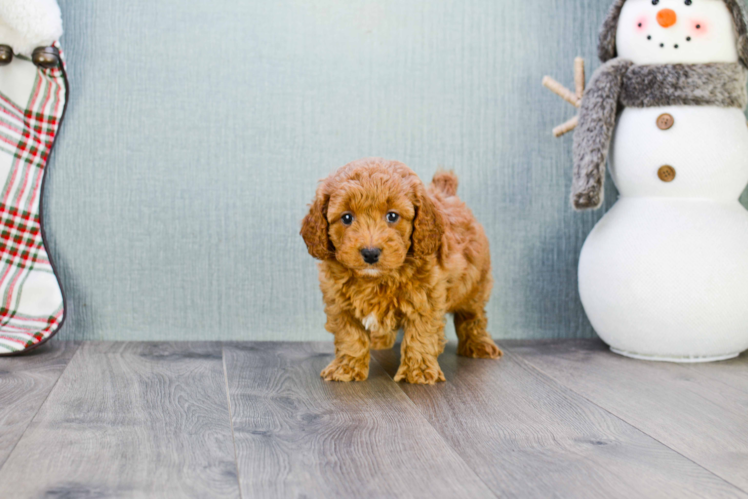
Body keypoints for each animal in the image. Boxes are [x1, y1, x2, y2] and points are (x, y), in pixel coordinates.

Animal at [300, 158, 502, 384]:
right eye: (346, 218)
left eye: (392, 216)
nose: (370, 253)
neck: (377, 279)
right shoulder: (340, 303)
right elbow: (350, 336)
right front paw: (347, 367)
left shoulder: (426, 298)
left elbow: (420, 334)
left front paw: (419, 371)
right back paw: (379, 339)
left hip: (475, 283)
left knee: (473, 317)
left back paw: (479, 345)